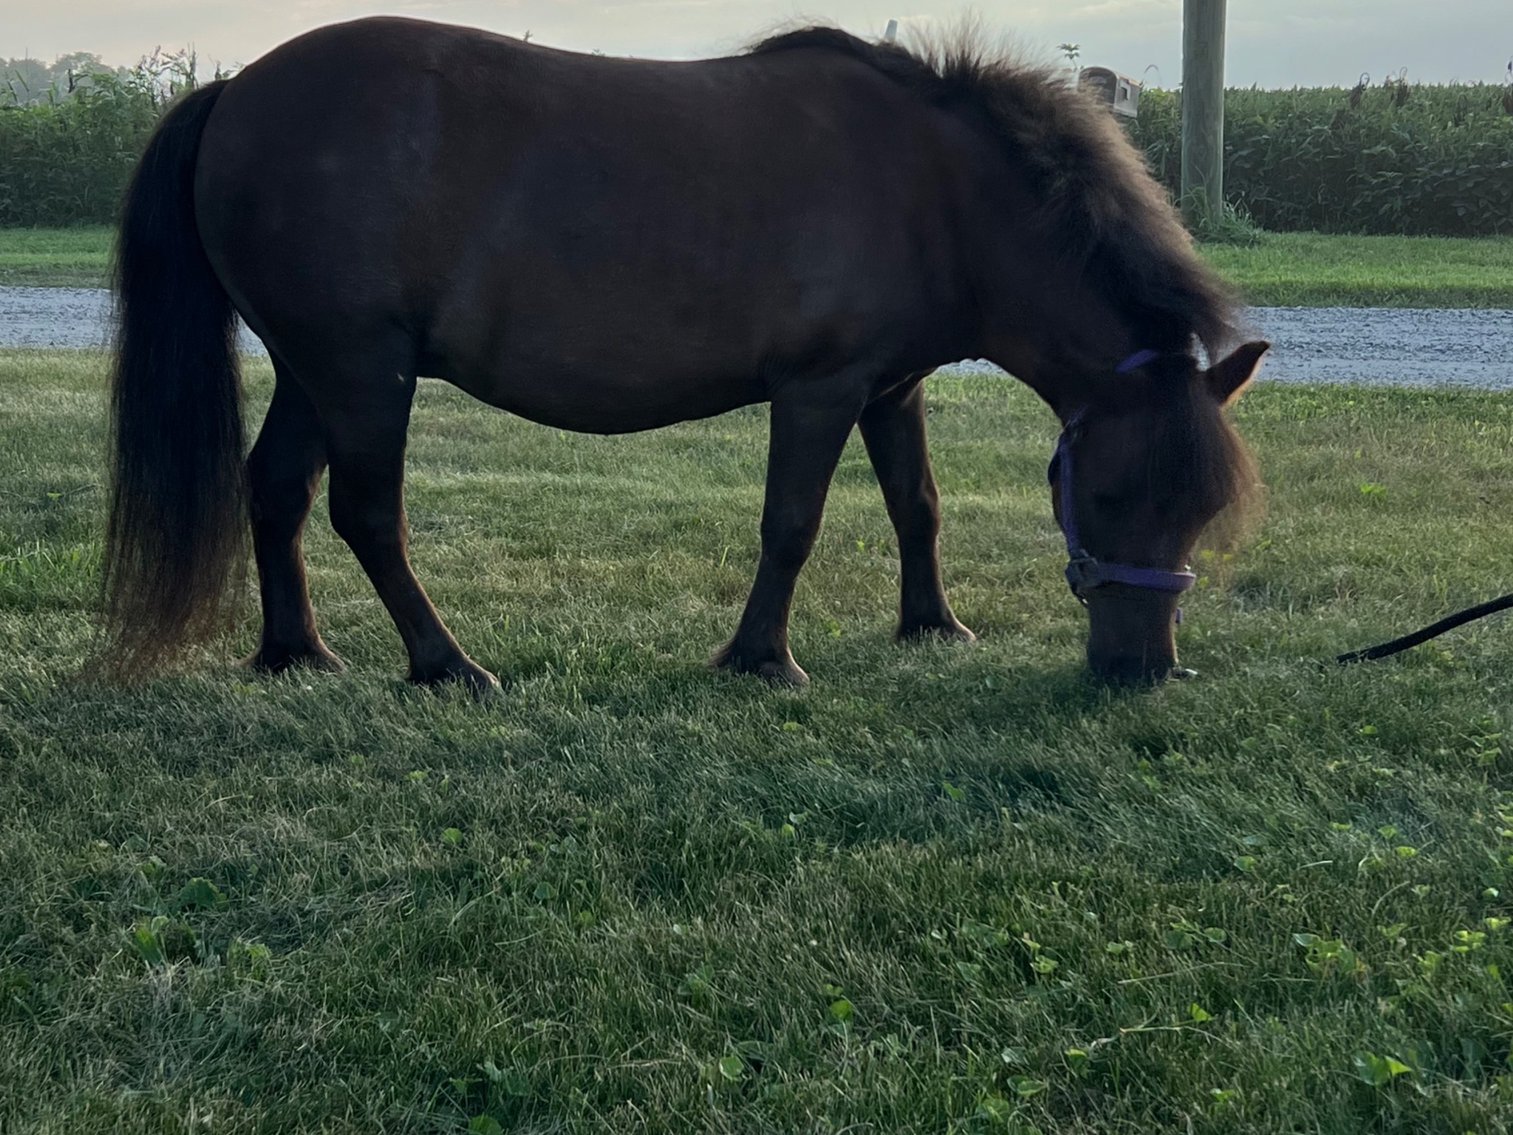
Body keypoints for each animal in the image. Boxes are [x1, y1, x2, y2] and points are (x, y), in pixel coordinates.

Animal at [103, 19, 1266, 694]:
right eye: (1106, 496)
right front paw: (760, 659)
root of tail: (234, 90)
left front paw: (932, 626)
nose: (1141, 671)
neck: (937, 188)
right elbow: (790, 525)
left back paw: (294, 651)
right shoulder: (819, 390)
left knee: (276, 489)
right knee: (364, 513)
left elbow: (916, 507)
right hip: (361, 373)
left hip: (317, 370)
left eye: (1201, 509)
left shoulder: (891, 389)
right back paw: (445, 665)